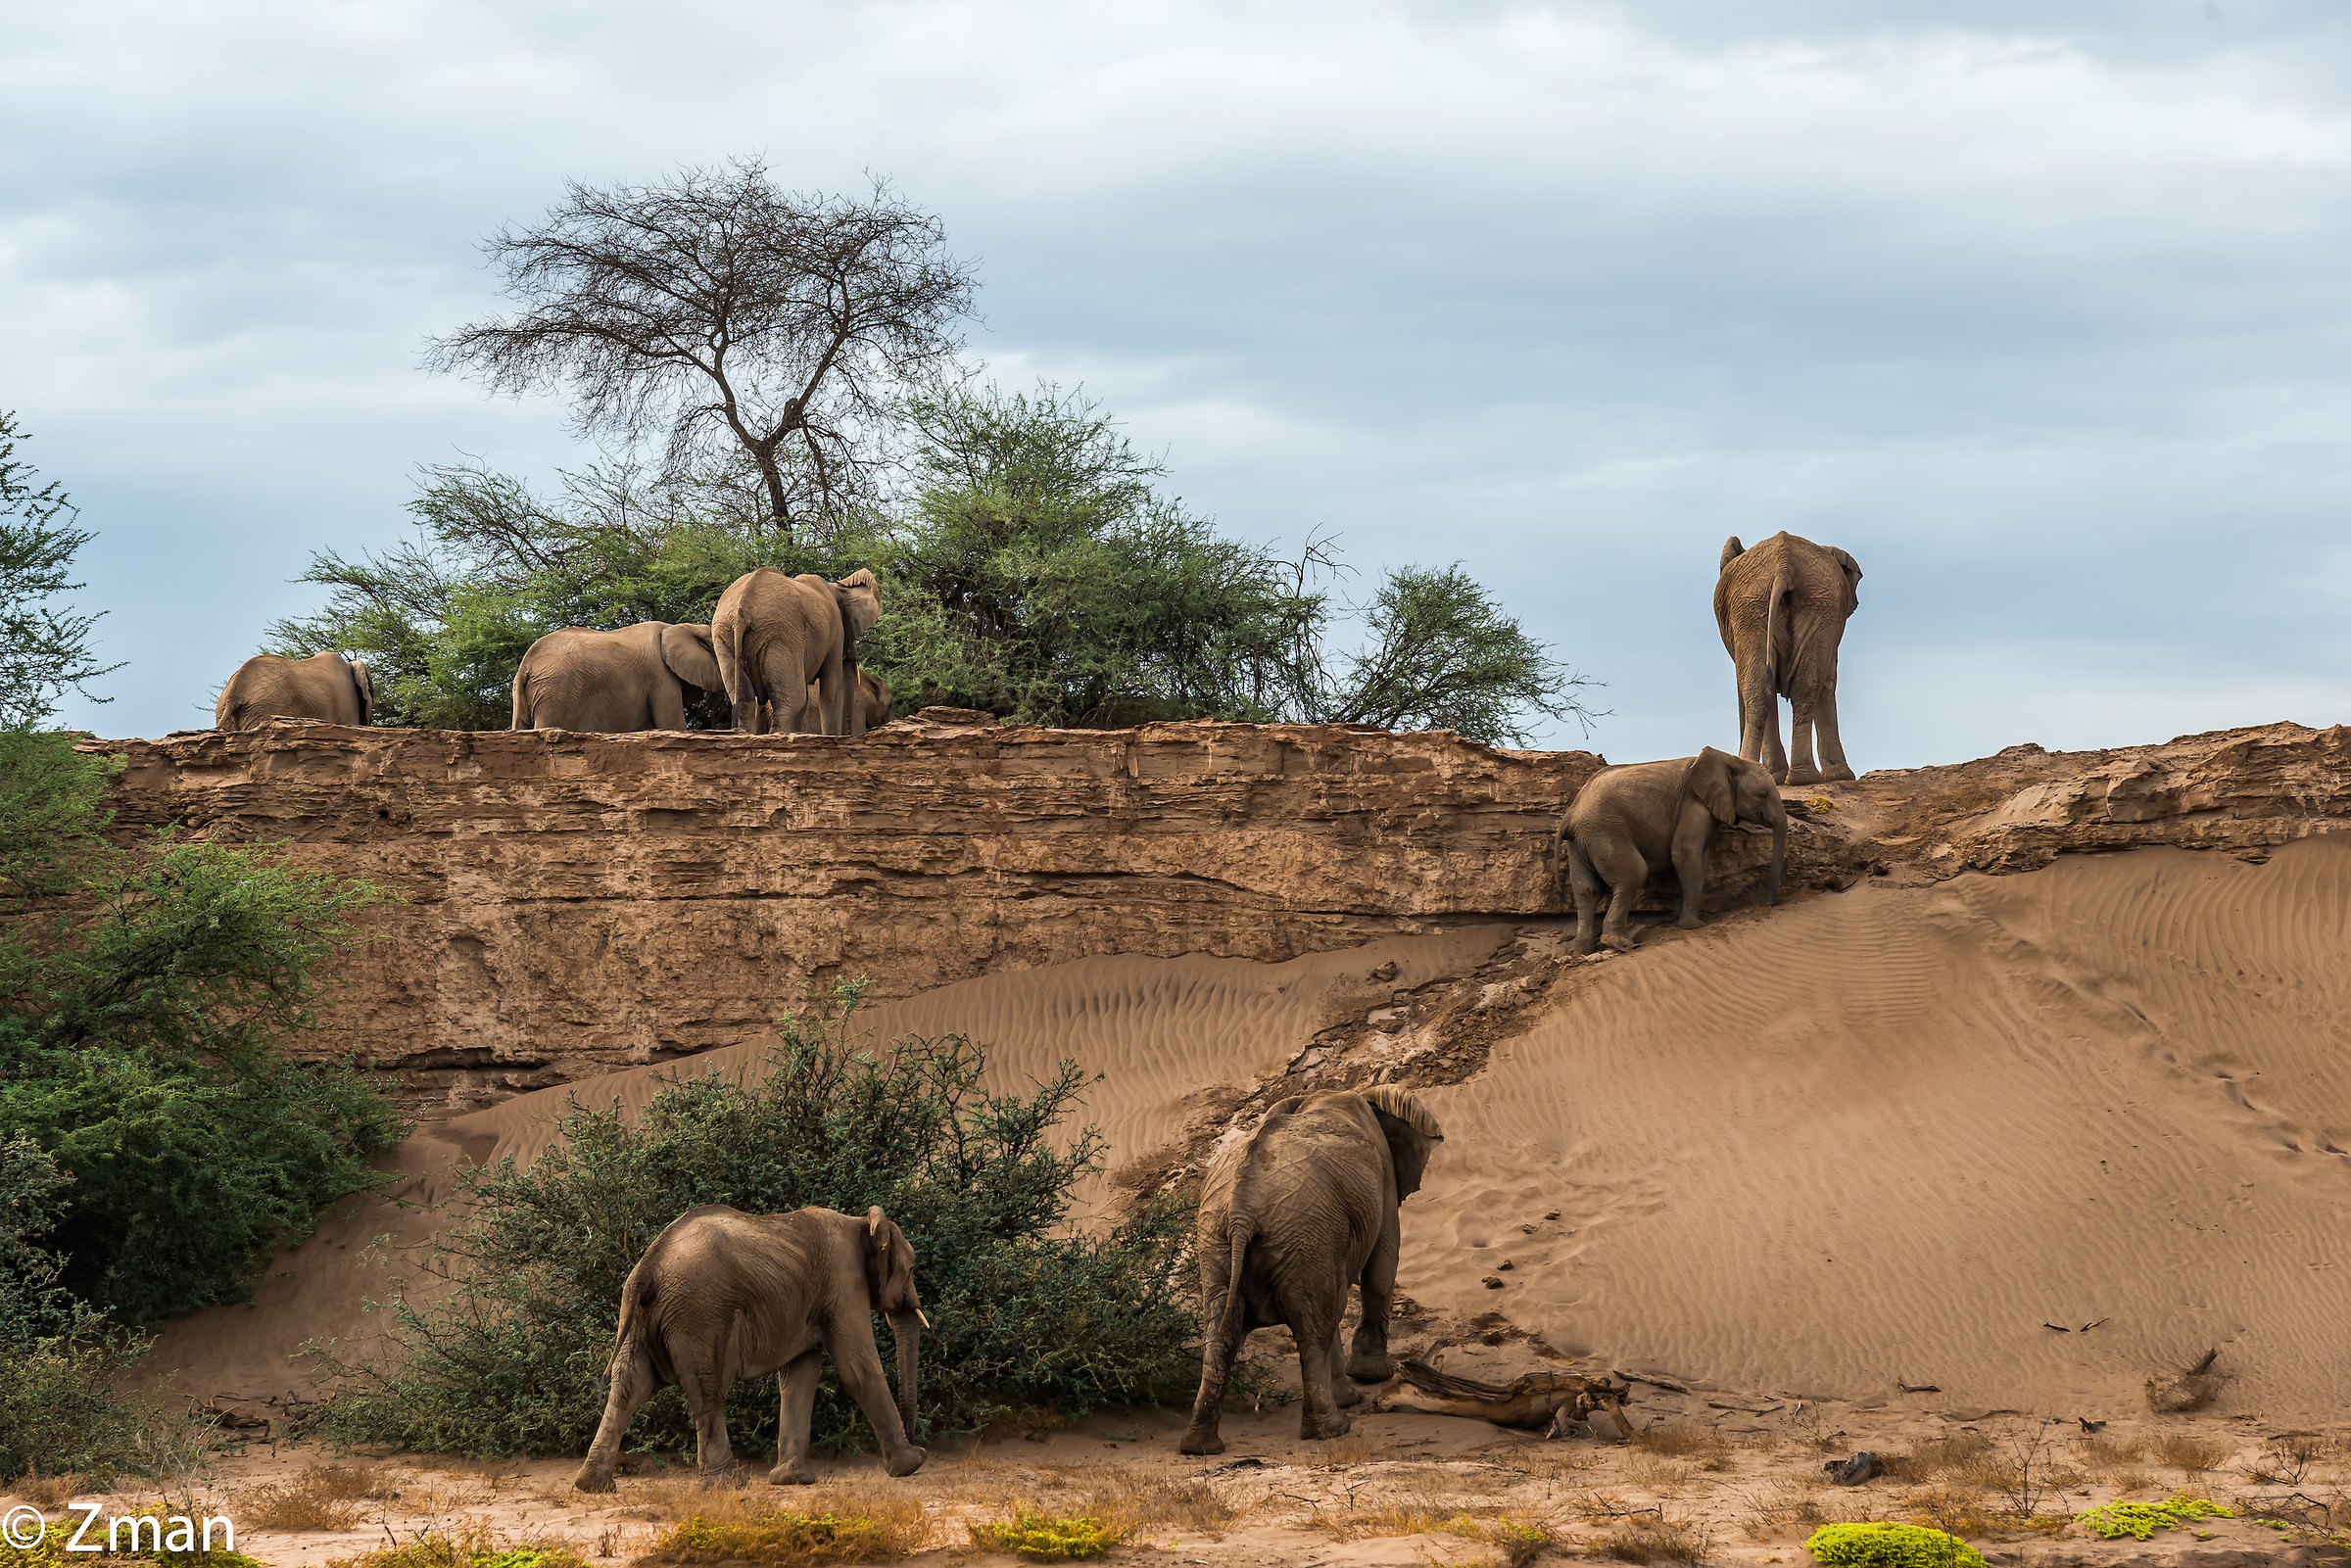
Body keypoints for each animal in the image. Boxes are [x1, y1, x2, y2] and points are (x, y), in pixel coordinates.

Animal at [572, 1204, 928, 1493]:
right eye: (911, 1269)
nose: (917, 1438)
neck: (862, 1223)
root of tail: (647, 1266)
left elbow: (799, 1377)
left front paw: (790, 1480)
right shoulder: (843, 1282)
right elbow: (858, 1368)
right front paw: (912, 1464)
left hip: (645, 1318)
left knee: (630, 1384)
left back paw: (594, 1485)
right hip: (699, 1314)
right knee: (708, 1392)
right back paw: (728, 1483)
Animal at [712, 568, 881, 736]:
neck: (836, 587)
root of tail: (742, 610)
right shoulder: (835, 631)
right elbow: (831, 691)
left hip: (723, 635)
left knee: (744, 699)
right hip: (781, 634)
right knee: (793, 700)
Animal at [1178, 1087, 1444, 1456]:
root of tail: (1241, 1211)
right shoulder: (1385, 1180)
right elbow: (1382, 1266)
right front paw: (1373, 1376)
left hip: (1218, 1239)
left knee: (1223, 1333)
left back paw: (1199, 1446)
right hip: (1303, 1233)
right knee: (1315, 1328)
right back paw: (1332, 1429)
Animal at [1554, 746, 1787, 955]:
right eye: (1762, 794)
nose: (1768, 904)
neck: (1729, 759)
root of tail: (1570, 816)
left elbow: (1700, 860)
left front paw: (1686, 920)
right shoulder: (1694, 806)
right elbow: (1684, 855)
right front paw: (1693, 926)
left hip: (1583, 841)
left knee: (1587, 890)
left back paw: (1582, 951)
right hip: (1606, 831)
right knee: (1634, 874)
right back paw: (1621, 944)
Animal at [1715, 531, 1863, 784]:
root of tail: (1784, 565)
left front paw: (1838, 776)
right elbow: (1826, 681)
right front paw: (1839, 776)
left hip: (1798, 605)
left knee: (1777, 690)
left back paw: (1802, 778)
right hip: (1759, 608)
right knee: (1784, 689)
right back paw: (1800, 778)